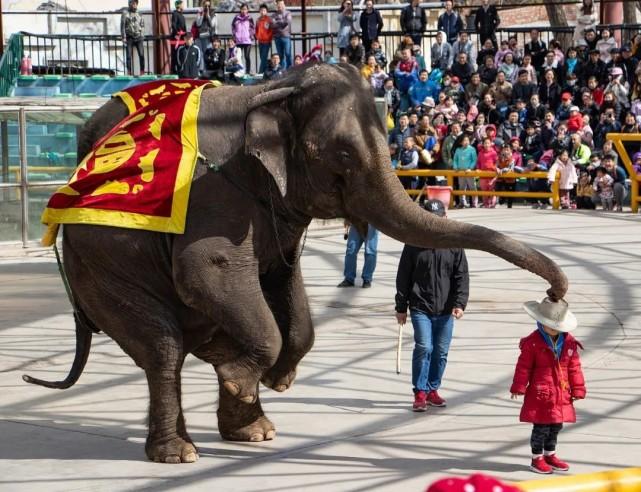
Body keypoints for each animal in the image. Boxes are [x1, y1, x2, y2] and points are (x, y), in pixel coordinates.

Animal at [23, 62, 564, 466]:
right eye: (342, 154)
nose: (555, 294)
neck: (271, 89)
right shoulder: (212, 193)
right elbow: (208, 270)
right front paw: (251, 380)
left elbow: (284, 283)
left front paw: (272, 380)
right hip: (103, 266)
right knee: (163, 349)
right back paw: (181, 452)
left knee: (202, 336)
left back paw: (252, 429)